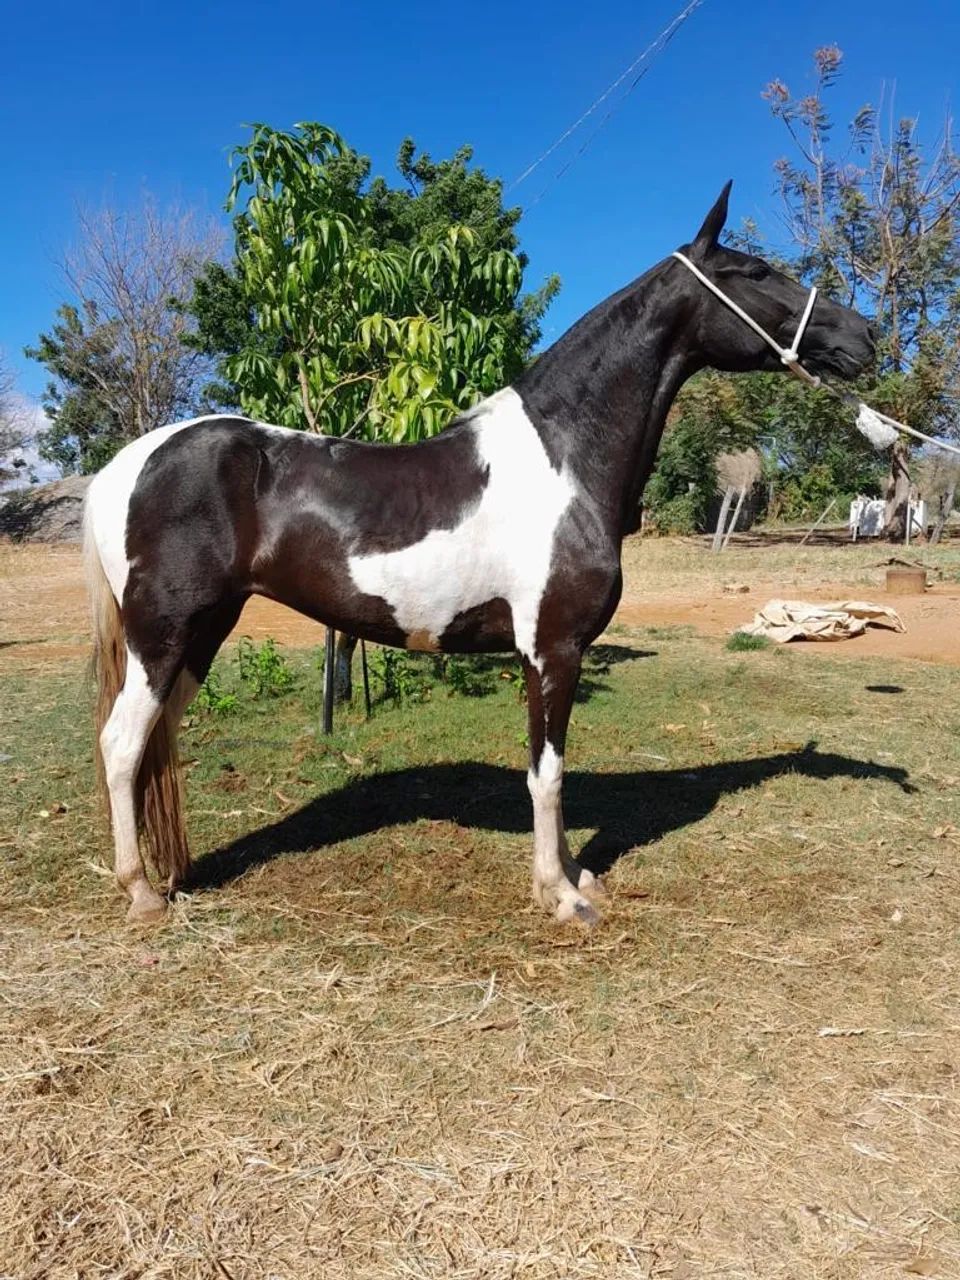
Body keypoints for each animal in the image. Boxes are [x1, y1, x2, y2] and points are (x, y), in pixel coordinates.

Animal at [83, 182, 875, 926]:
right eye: (757, 271)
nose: (864, 336)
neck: (565, 455)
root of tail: (126, 465)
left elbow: (551, 770)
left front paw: (572, 876)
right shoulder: (553, 649)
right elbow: (547, 774)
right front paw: (560, 895)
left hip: (203, 632)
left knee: (158, 742)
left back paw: (176, 873)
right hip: (165, 634)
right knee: (122, 743)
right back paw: (141, 891)